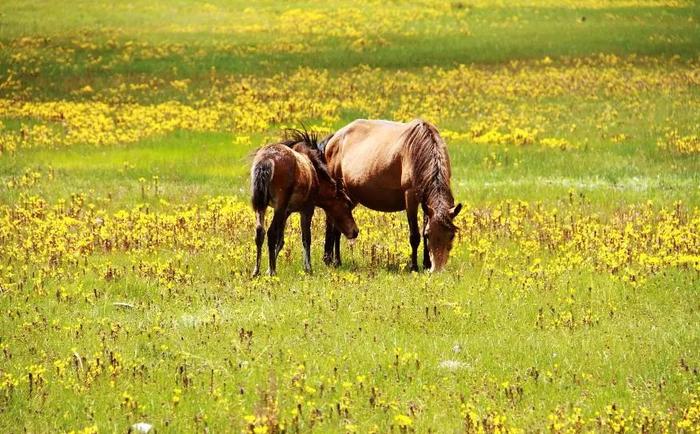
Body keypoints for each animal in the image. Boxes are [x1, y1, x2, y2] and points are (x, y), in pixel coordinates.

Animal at [252, 131, 360, 276]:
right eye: (347, 203)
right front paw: (308, 268)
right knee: (271, 233)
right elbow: (306, 238)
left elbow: (281, 240)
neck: (314, 174)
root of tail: (267, 161)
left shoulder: (286, 212)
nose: (355, 231)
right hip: (279, 207)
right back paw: (273, 272)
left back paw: (256, 271)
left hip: (262, 206)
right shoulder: (307, 210)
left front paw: (269, 267)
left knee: (260, 232)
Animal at [320, 118, 462, 272]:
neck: (420, 149)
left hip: (351, 197)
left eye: (452, 235)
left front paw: (425, 264)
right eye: (429, 235)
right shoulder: (410, 196)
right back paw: (333, 261)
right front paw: (414, 267)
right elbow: (414, 236)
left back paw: (332, 260)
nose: (437, 269)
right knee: (332, 225)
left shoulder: (426, 202)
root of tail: (333, 138)